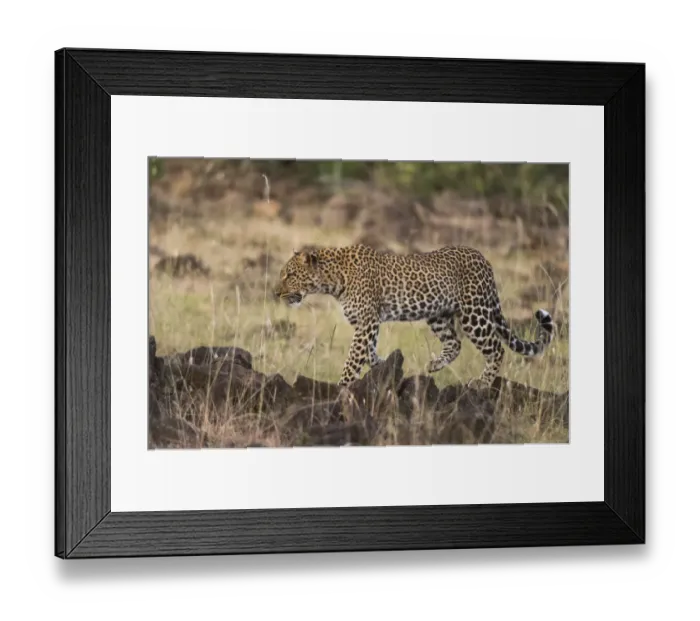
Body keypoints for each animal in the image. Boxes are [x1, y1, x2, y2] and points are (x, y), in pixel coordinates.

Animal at [272, 244, 555, 388]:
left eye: (290, 275)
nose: (275, 293)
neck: (333, 280)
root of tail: (484, 259)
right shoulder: (368, 324)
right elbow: (368, 353)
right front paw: (385, 367)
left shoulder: (367, 322)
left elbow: (353, 358)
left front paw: (343, 387)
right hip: (438, 314)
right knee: (455, 343)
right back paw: (435, 365)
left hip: (474, 313)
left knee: (496, 347)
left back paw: (482, 383)